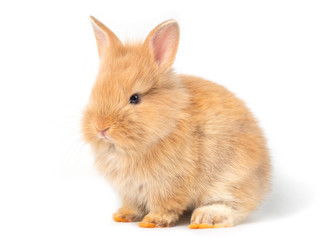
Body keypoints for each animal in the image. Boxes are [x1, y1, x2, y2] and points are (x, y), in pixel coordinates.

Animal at [82, 16, 270, 229]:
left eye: (135, 98)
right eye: (94, 92)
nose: (101, 128)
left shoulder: (168, 184)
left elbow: (165, 205)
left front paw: (152, 221)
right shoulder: (131, 191)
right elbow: (133, 205)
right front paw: (122, 215)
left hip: (231, 179)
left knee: (235, 207)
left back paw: (204, 219)